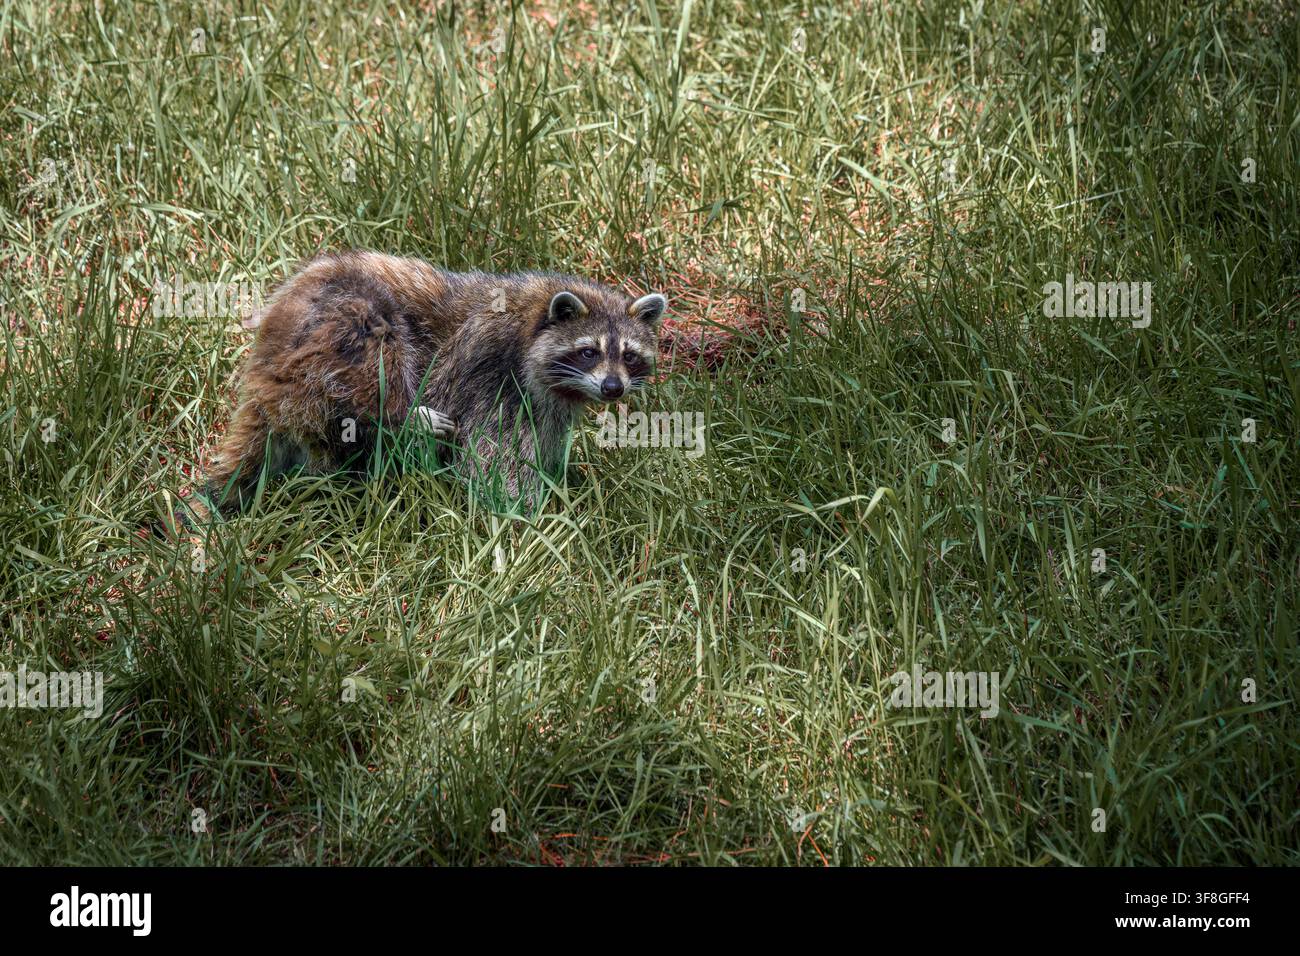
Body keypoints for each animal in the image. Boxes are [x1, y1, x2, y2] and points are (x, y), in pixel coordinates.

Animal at [199, 251, 667, 516]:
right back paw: (400, 415)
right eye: (588, 351)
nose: (613, 388)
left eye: (628, 355)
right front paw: (532, 520)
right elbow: (497, 465)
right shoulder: (494, 375)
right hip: (330, 327)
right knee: (375, 339)